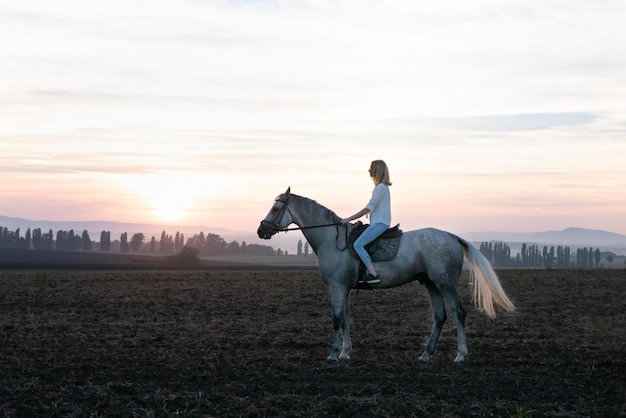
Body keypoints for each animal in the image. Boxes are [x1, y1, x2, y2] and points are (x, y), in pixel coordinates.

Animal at [256, 187, 516, 362]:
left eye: (276, 207)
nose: (261, 230)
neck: (331, 239)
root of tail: (452, 237)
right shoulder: (344, 288)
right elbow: (346, 319)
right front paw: (345, 353)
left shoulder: (337, 287)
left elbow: (337, 319)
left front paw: (332, 354)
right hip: (431, 284)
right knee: (440, 316)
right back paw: (425, 354)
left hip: (445, 284)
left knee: (458, 313)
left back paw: (460, 355)